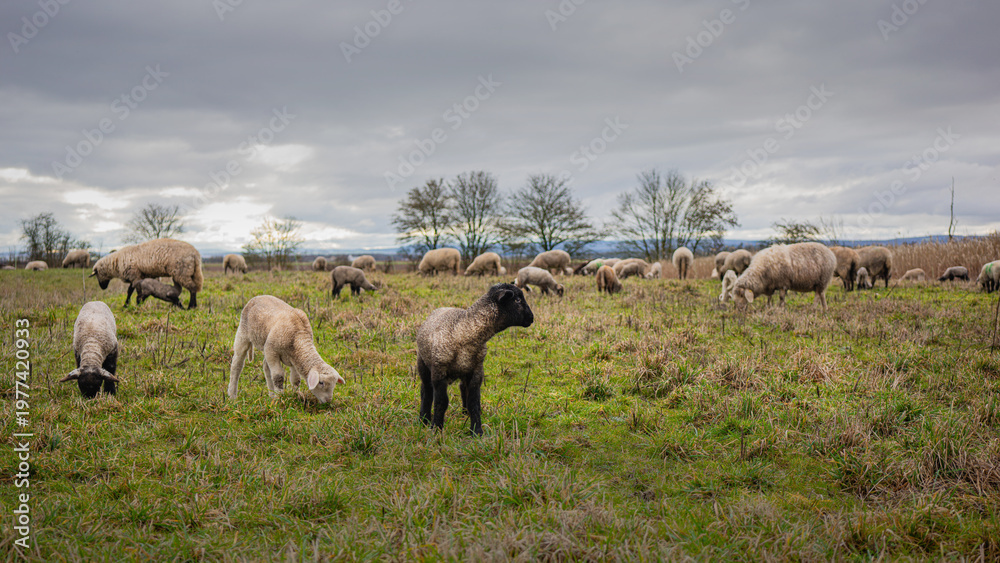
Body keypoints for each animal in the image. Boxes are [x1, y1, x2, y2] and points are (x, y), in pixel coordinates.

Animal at [416, 283, 533, 435]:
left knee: (462, 388)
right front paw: (436, 428)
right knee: (426, 390)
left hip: (464, 370)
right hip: (423, 363)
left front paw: (477, 431)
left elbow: (474, 402)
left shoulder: (476, 371)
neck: (464, 330)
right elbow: (441, 402)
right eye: (518, 300)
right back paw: (423, 420)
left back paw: (464, 412)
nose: (531, 318)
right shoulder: (439, 371)